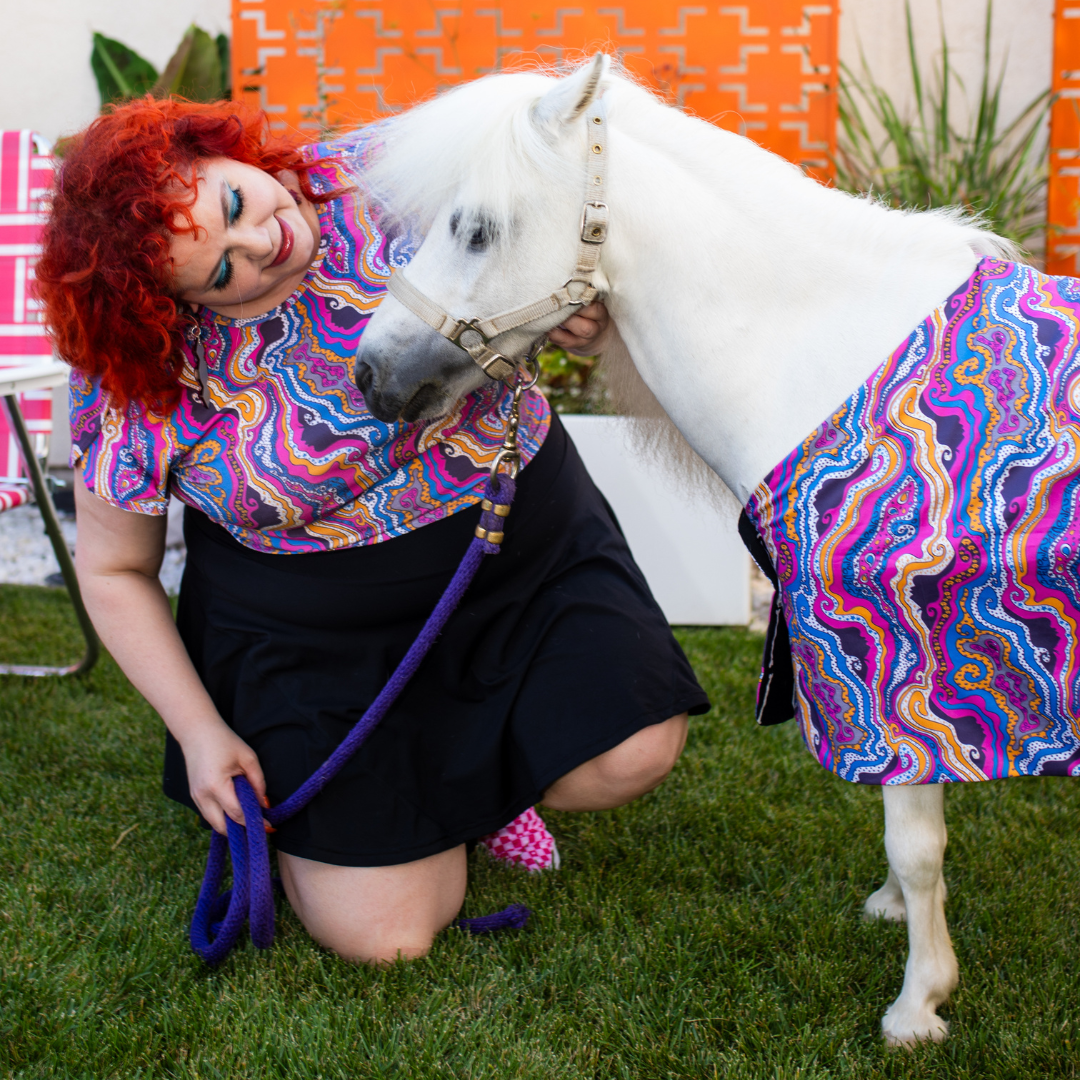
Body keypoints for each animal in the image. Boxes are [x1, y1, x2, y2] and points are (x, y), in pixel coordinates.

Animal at [349, 52, 1041, 1045]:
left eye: (477, 229)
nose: (371, 373)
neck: (828, 358)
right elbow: (912, 822)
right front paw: (896, 921)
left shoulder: (898, 662)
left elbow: (914, 839)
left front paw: (919, 1004)